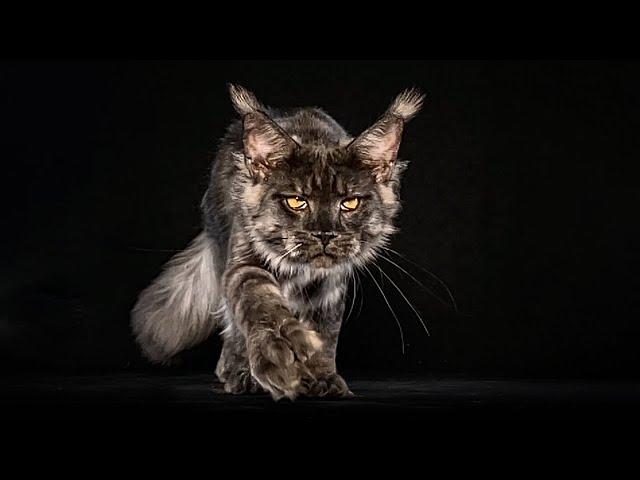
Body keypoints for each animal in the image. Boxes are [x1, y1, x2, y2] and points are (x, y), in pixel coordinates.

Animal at [131, 84, 424, 400]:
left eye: (350, 203)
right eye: (296, 201)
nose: (324, 234)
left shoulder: (330, 286)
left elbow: (326, 331)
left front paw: (322, 376)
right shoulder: (244, 263)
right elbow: (261, 304)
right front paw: (280, 354)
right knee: (233, 327)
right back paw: (237, 373)